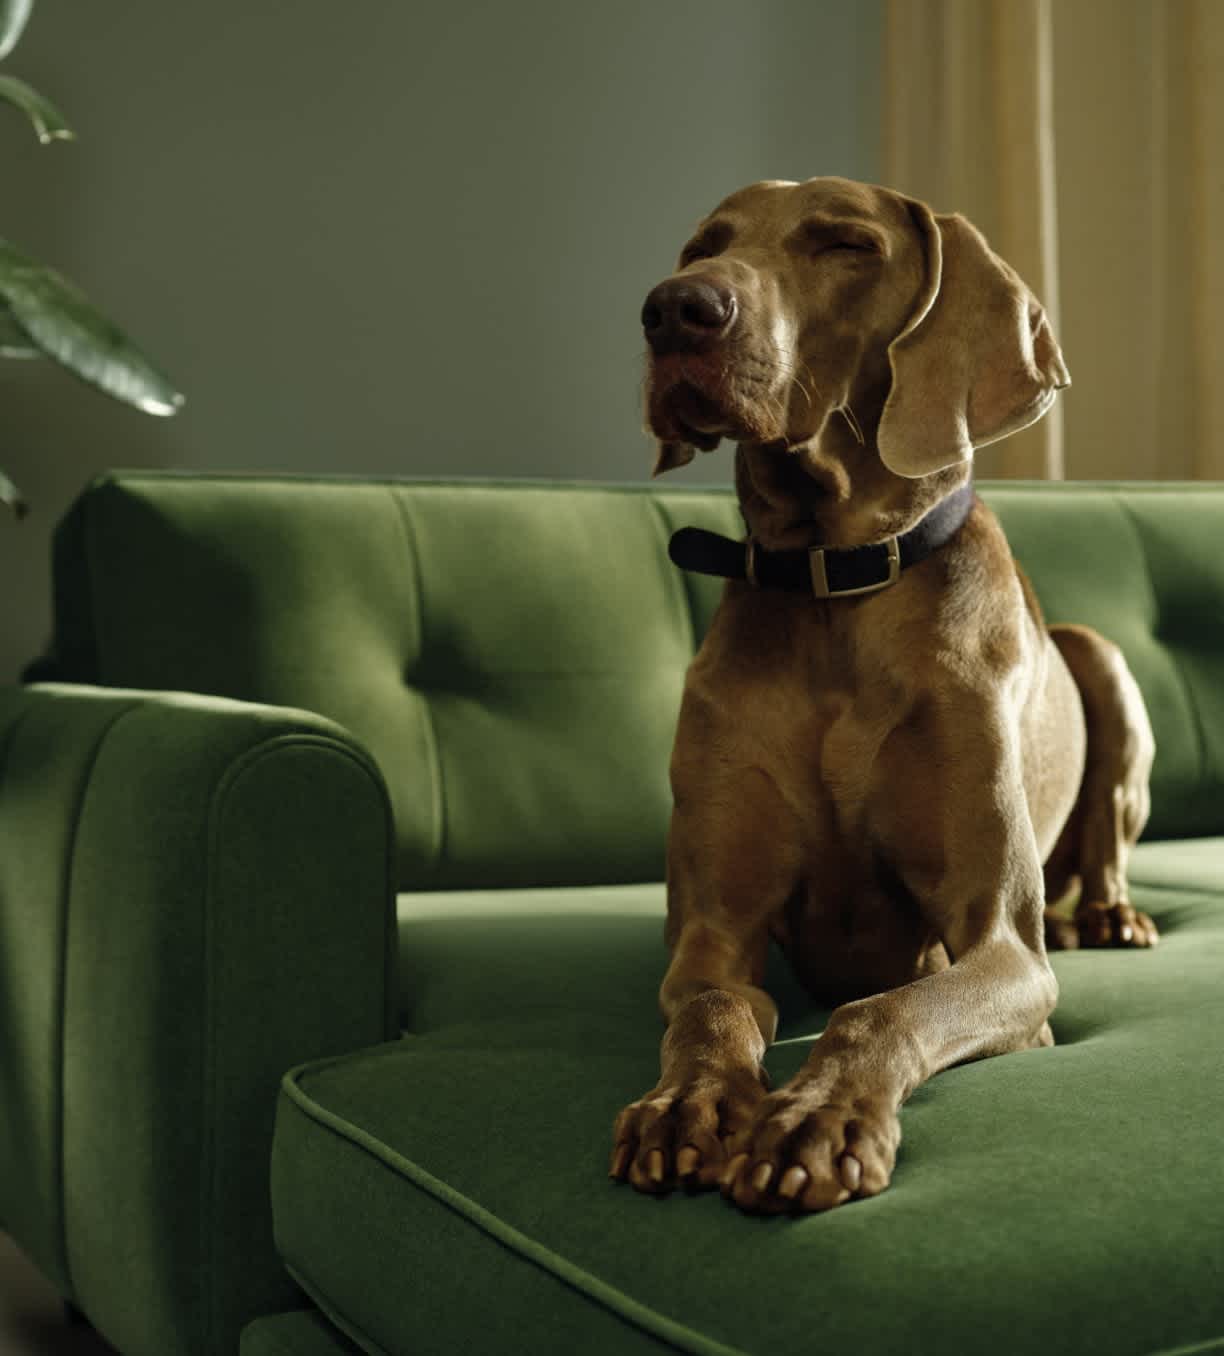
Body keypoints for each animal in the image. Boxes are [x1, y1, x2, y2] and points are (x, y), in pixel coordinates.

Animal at [612, 177, 1160, 1220]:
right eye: (705, 245)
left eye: (845, 245)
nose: (673, 309)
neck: (835, 588)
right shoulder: (712, 933)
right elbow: (713, 1006)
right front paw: (687, 1105)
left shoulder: (1003, 949)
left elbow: (877, 1011)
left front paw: (813, 1120)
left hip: (1100, 657)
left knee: (1103, 842)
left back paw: (1110, 915)